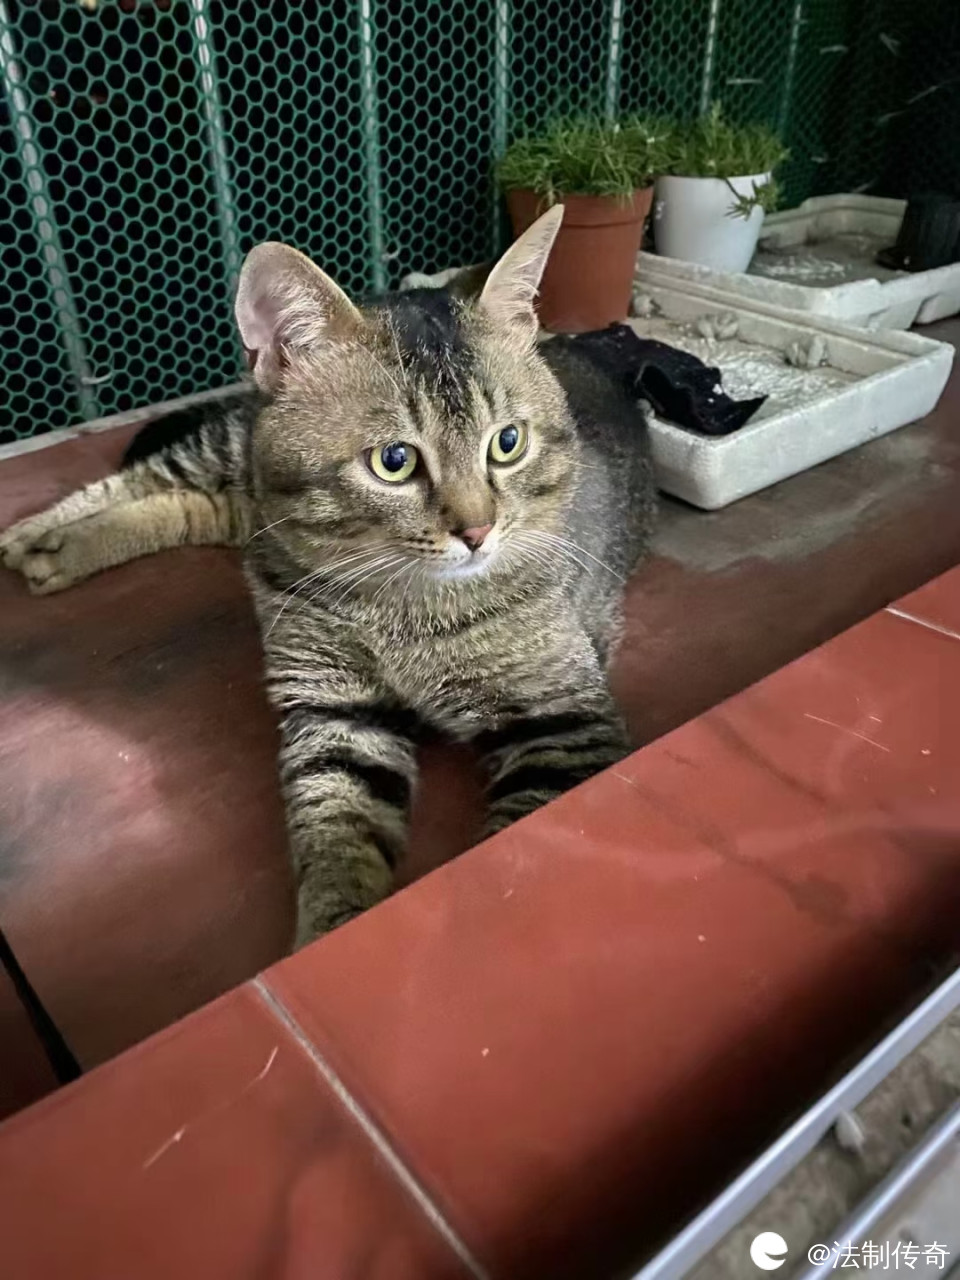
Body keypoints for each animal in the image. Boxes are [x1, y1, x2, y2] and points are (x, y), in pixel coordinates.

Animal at [0, 207, 657, 946]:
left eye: (508, 443)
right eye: (395, 461)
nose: (478, 531)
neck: (402, 605)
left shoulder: (560, 724)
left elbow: (497, 840)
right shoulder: (331, 710)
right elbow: (336, 842)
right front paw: (330, 930)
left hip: (241, 503)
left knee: (189, 506)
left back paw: (57, 548)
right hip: (230, 450)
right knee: (149, 477)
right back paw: (41, 534)